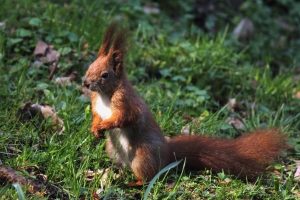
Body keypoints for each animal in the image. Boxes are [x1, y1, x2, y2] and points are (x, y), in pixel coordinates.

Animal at [82, 23, 288, 186]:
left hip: (142, 156)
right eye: (89, 66)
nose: (85, 83)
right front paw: (95, 127)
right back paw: (116, 175)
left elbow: (125, 117)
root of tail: (167, 155)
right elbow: (97, 115)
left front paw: (104, 125)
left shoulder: (126, 101)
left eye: (105, 75)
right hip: (113, 150)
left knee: (148, 177)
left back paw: (133, 183)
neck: (105, 95)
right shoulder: (96, 104)